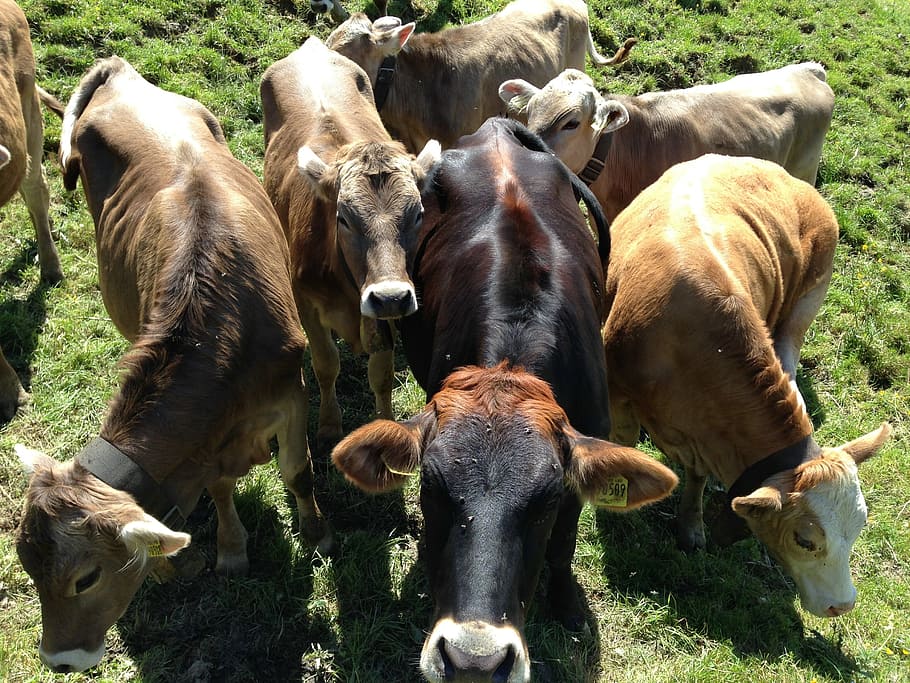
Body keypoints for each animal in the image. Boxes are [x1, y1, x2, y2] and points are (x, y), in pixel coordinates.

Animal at [14, 56, 333, 673]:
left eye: (85, 578)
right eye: (26, 566)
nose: (59, 660)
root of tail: (119, 72)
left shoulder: (291, 392)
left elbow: (298, 470)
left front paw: (315, 529)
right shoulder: (210, 448)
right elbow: (219, 488)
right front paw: (230, 550)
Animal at [261, 37, 439, 450]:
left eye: (418, 214)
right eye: (342, 217)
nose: (390, 296)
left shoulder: (387, 316)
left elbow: (382, 375)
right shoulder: (305, 302)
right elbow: (326, 364)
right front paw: (329, 426)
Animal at [602, 153, 892, 618]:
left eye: (861, 524)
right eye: (805, 539)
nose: (843, 605)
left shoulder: (705, 436)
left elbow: (698, 477)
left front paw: (692, 526)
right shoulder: (619, 392)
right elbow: (623, 442)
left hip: (802, 310)